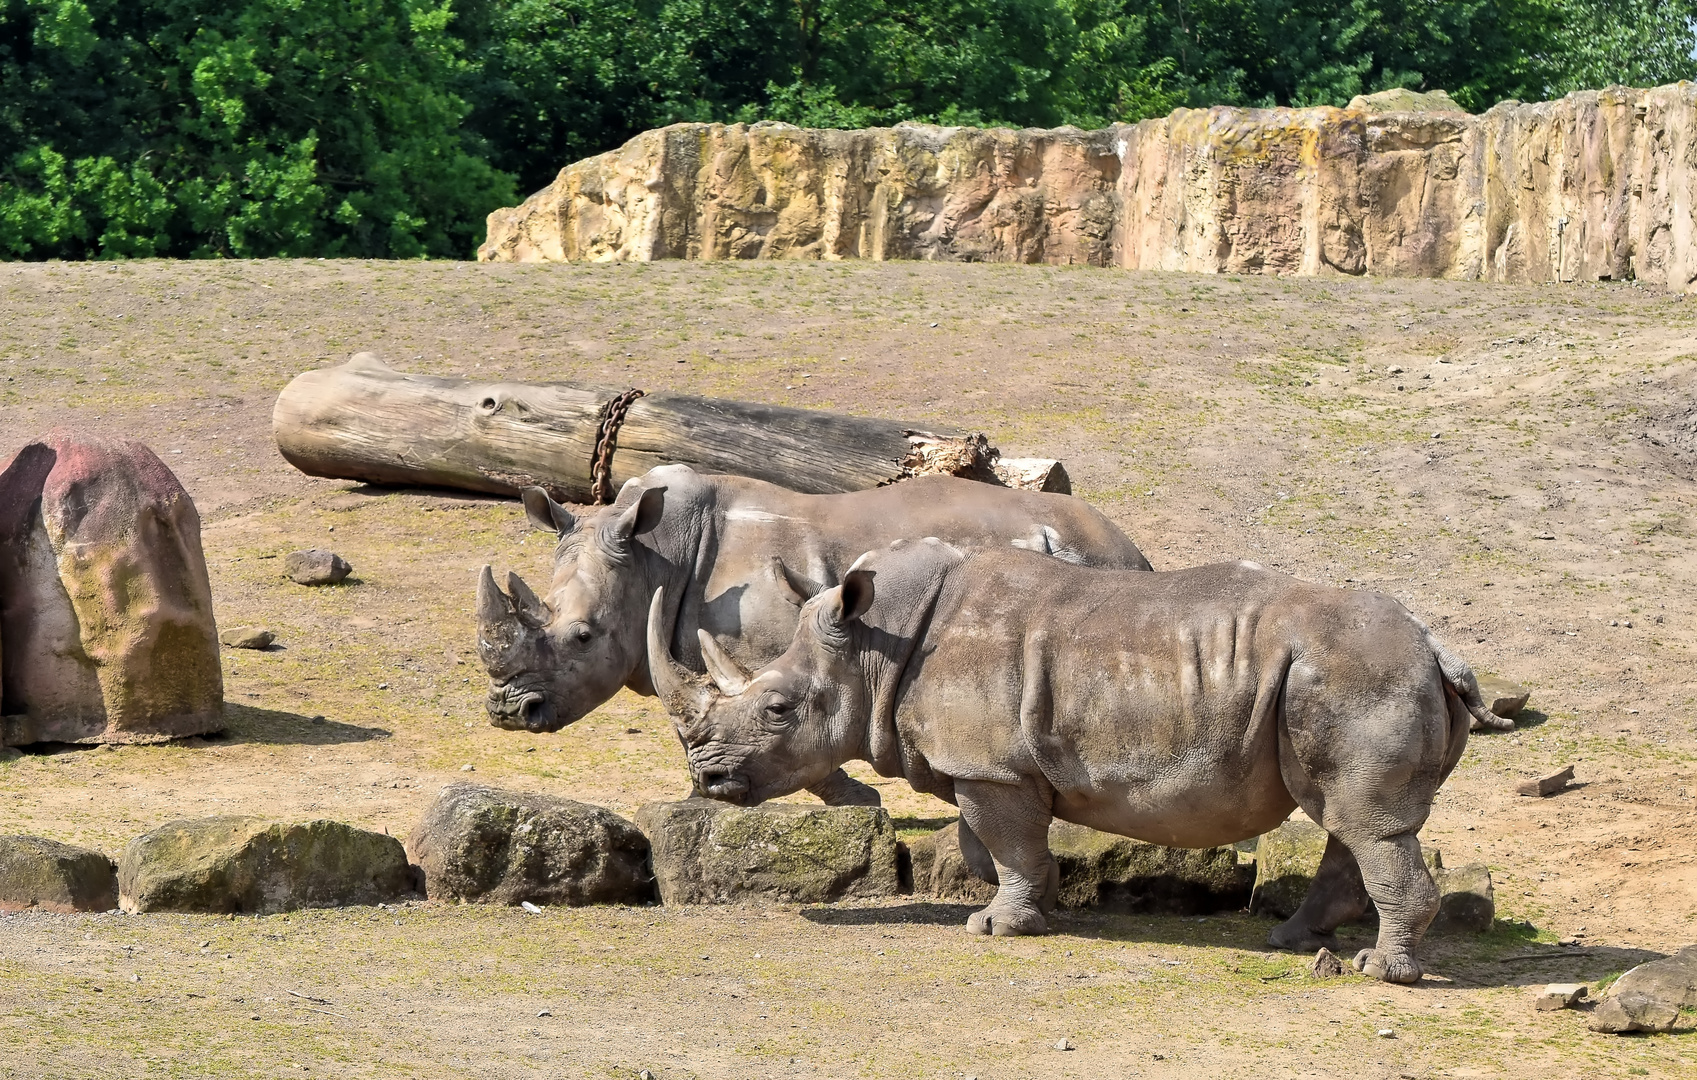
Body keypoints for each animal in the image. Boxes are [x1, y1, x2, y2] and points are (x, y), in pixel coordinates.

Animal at [478, 468, 1153, 804]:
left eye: (583, 637)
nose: (509, 713)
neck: (653, 557)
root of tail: (1129, 547)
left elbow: (798, 715)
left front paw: (852, 800)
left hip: (1091, 568)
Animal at [651, 536, 1513, 978]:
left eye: (777, 709)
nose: (707, 777)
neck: (870, 648)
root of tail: (1434, 645)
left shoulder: (987, 766)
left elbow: (1001, 843)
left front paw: (996, 928)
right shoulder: (994, 765)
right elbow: (993, 844)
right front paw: (1041, 904)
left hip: (1356, 671)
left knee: (1366, 821)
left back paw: (1376, 970)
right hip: (1345, 674)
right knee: (1347, 817)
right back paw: (1295, 943)